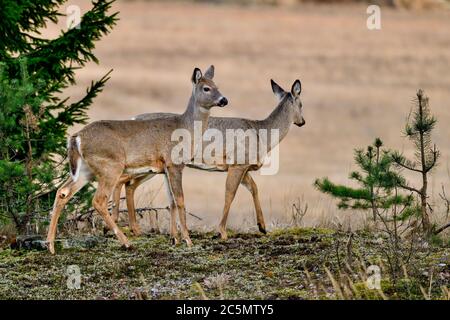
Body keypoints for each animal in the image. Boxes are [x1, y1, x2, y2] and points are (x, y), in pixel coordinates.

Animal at [46, 67, 229, 252]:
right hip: (110, 166)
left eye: (217, 86)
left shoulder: (165, 168)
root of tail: (77, 137)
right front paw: (187, 240)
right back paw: (125, 241)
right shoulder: (175, 163)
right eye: (206, 88)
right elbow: (180, 200)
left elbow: (171, 202)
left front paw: (174, 239)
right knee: (99, 200)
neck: (186, 128)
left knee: (62, 192)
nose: (224, 100)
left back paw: (51, 245)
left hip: (86, 169)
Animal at [111, 77, 306, 239]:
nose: (302, 122)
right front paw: (222, 232)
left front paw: (262, 227)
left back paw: (133, 228)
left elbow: (254, 188)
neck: (262, 134)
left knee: (129, 185)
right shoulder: (238, 163)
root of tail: (133, 117)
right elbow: (230, 194)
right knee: (124, 181)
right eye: (301, 104)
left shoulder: (241, 166)